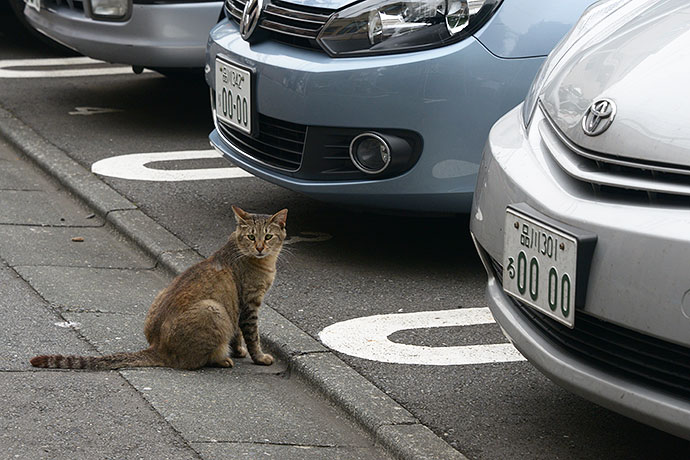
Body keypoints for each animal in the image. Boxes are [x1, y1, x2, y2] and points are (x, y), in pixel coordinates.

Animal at [29, 207, 286, 372]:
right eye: (251, 236)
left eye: (268, 236)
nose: (260, 247)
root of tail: (157, 347)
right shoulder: (249, 304)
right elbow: (251, 335)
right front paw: (258, 357)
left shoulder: (240, 306)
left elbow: (238, 334)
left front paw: (239, 350)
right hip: (213, 309)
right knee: (193, 362)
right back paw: (221, 360)